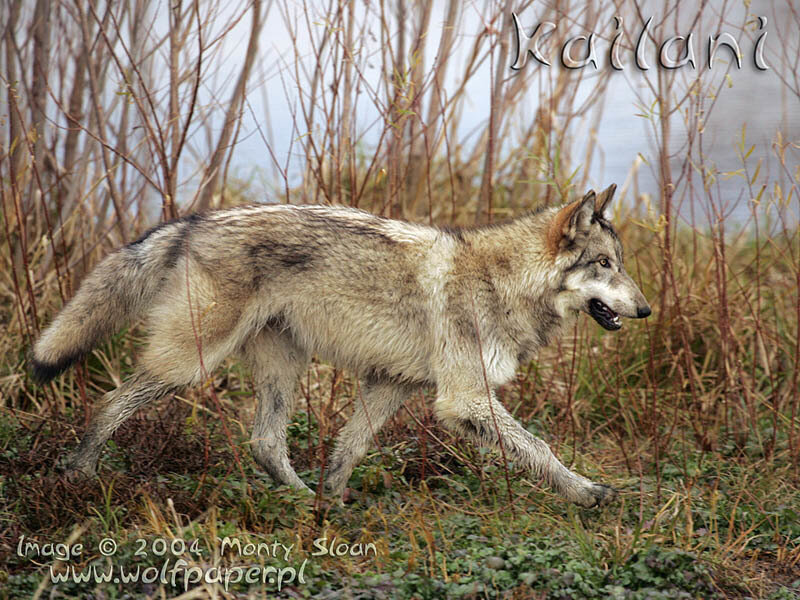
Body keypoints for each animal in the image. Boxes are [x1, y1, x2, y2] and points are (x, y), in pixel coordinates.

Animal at [31, 184, 650, 508]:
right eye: (604, 265)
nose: (645, 309)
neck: (502, 283)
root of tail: (194, 221)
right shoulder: (464, 400)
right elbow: (541, 450)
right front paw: (588, 492)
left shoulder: (391, 386)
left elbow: (348, 449)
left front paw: (333, 502)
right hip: (191, 364)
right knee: (109, 403)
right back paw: (78, 474)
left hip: (284, 366)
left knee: (265, 443)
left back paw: (303, 500)